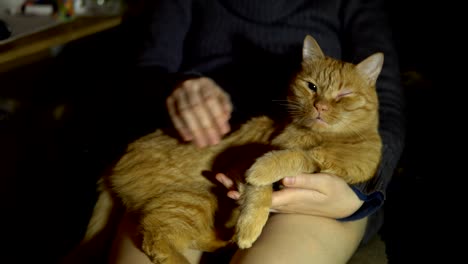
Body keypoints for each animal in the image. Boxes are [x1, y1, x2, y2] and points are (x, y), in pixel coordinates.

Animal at [80, 35, 384, 264]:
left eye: (344, 95)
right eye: (311, 87)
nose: (320, 106)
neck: (325, 137)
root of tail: (116, 159)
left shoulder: (330, 165)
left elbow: (297, 157)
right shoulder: (251, 157)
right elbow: (264, 183)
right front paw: (251, 222)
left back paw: (225, 241)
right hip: (192, 198)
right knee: (156, 237)